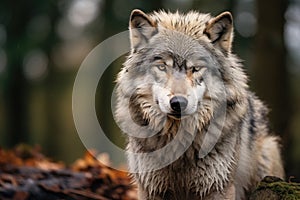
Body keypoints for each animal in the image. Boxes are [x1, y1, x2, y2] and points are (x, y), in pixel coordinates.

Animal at [114, 8, 284, 199]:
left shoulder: (219, 187)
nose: (178, 103)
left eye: (195, 68)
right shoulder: (150, 188)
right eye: (162, 67)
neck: (178, 143)